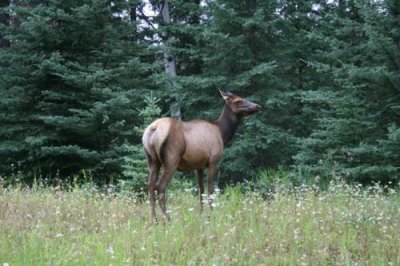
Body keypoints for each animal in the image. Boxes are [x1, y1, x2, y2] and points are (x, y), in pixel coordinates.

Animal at [142, 90, 260, 221]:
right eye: (238, 100)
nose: (257, 106)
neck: (222, 133)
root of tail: (153, 129)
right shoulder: (213, 161)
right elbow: (210, 189)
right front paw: (213, 214)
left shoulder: (197, 165)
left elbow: (201, 190)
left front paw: (201, 214)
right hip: (171, 160)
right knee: (160, 187)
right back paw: (167, 219)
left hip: (152, 160)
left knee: (150, 186)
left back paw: (154, 219)